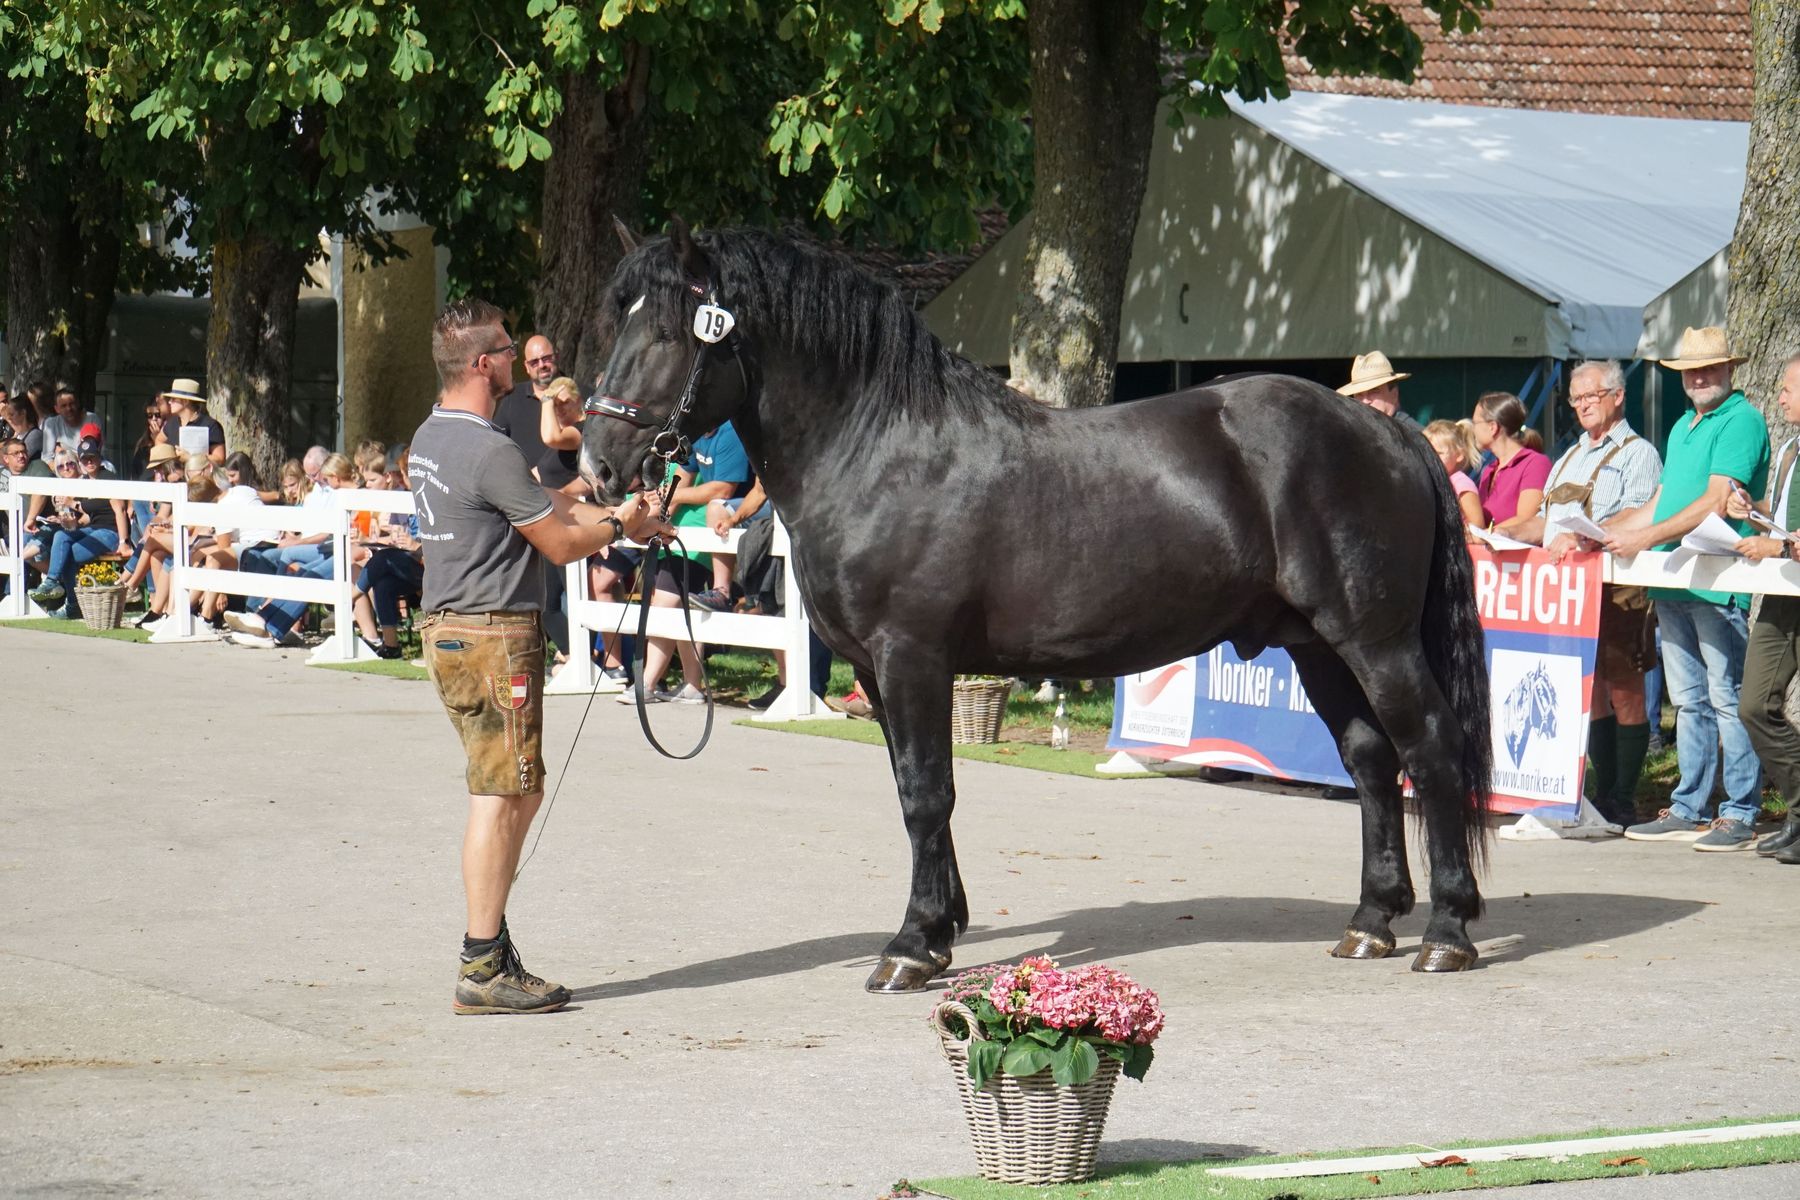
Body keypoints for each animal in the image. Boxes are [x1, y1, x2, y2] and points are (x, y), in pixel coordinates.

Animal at [579, 223, 1490, 993]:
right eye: (620, 322)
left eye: (667, 335)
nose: (597, 464)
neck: (880, 447)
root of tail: (1387, 431)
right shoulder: (875, 669)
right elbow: (913, 790)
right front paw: (944, 927)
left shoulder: (911, 657)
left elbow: (927, 793)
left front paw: (912, 946)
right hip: (1316, 644)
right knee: (1371, 759)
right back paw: (1371, 922)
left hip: (1375, 640)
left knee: (1431, 749)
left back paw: (1447, 931)